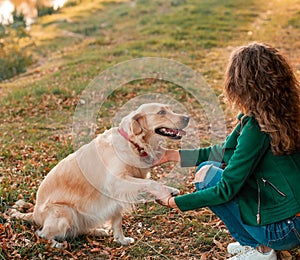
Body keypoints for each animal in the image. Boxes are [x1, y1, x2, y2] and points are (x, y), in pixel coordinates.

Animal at [10, 102, 191, 247]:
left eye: (169, 109)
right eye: (161, 112)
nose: (187, 118)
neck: (132, 143)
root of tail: (34, 214)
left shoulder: (117, 195)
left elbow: (117, 221)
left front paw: (121, 240)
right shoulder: (117, 183)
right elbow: (152, 182)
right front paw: (166, 191)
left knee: (77, 230)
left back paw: (98, 231)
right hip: (65, 211)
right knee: (42, 234)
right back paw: (56, 244)